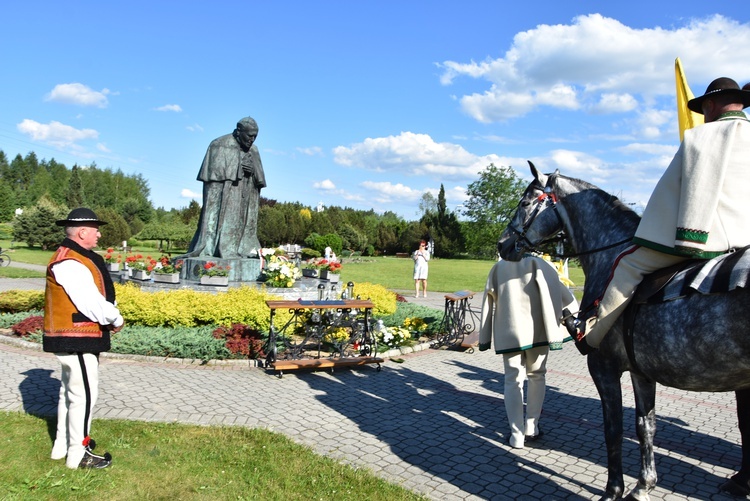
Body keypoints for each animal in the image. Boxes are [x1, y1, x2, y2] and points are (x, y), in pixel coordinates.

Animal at [500, 162, 750, 498]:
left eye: (525, 203)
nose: (502, 244)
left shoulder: (604, 368)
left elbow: (613, 428)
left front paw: (613, 489)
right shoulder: (641, 372)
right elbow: (646, 426)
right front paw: (644, 484)